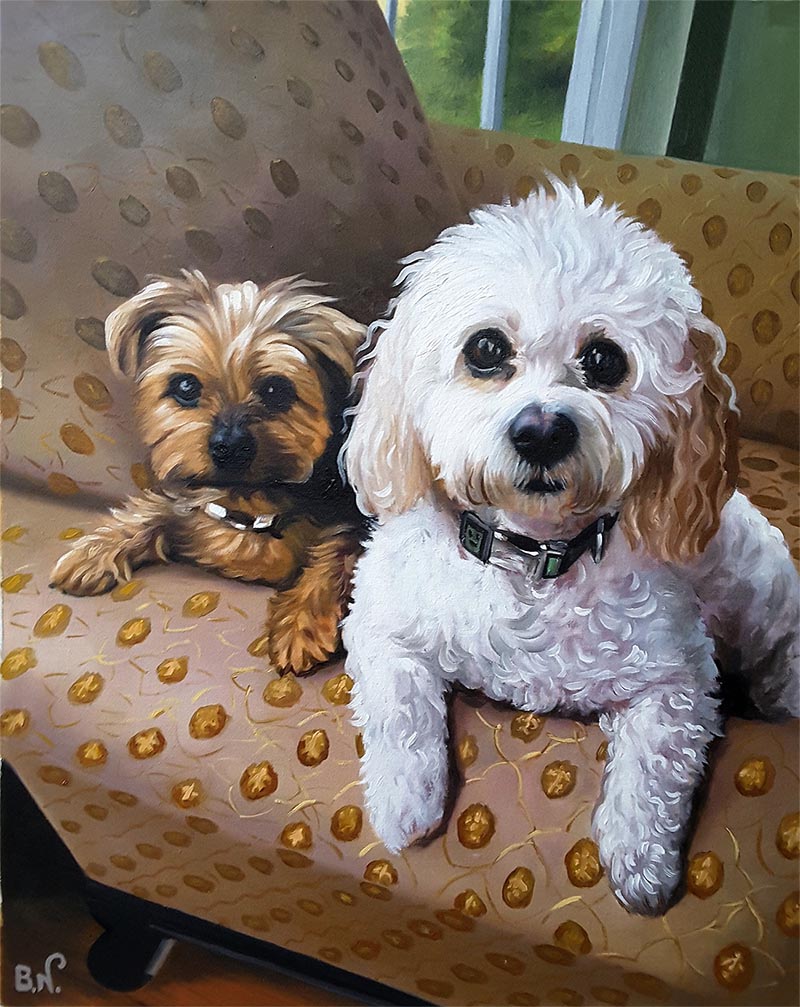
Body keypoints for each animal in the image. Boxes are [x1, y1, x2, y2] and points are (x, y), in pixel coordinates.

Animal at [52, 271, 368, 672]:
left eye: (275, 389)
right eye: (186, 386)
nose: (228, 446)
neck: (251, 505)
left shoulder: (354, 520)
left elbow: (336, 555)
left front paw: (302, 622)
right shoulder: (187, 499)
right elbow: (152, 511)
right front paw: (94, 552)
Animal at [340, 179, 793, 914]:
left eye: (605, 359)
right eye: (485, 349)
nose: (542, 431)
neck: (531, 558)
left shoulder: (679, 680)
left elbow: (653, 771)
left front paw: (640, 864)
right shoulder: (380, 621)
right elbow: (400, 708)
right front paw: (405, 802)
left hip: (755, 590)